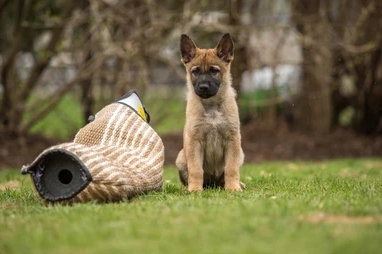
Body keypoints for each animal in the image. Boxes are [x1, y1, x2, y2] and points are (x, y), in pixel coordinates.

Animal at [176, 33, 245, 190]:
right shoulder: (194, 141)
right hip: (181, 157)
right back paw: (187, 187)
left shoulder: (233, 139)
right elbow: (196, 169)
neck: (212, 106)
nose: (203, 87)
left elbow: (231, 168)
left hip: (240, 154)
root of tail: (212, 184)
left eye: (214, 71)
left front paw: (233, 188)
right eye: (195, 72)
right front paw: (195, 189)